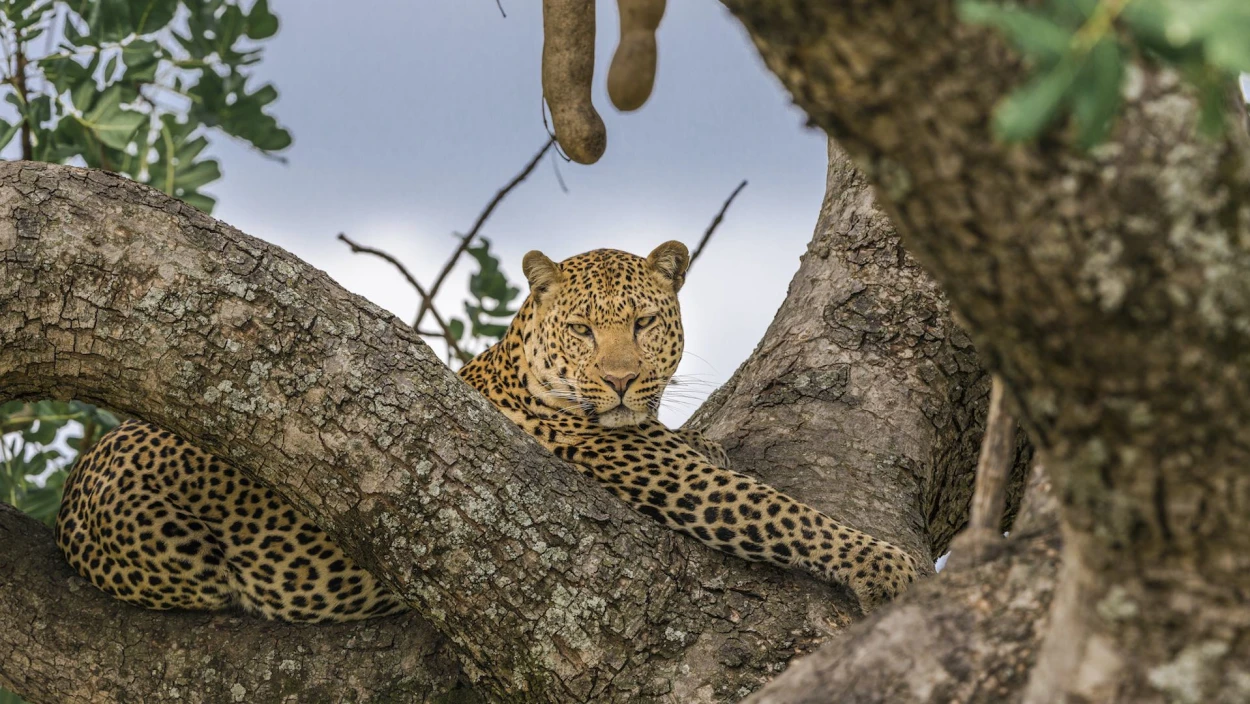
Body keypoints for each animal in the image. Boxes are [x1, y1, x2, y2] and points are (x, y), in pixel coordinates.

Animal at [56, 241, 920, 622]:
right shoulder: (655, 473)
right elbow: (776, 510)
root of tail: (68, 508)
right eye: (582, 329)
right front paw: (887, 566)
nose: (618, 380)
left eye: (643, 323)